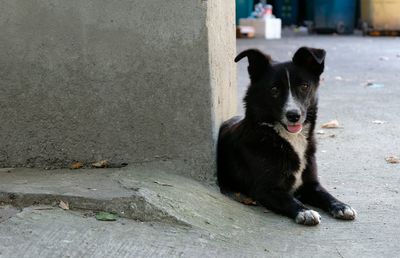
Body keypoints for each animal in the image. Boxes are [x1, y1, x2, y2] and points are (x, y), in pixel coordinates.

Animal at [219, 46, 356, 226]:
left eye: (304, 86)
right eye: (274, 90)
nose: (293, 115)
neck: (287, 139)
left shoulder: (311, 184)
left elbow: (326, 194)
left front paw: (341, 206)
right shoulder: (265, 189)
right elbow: (288, 199)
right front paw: (305, 211)